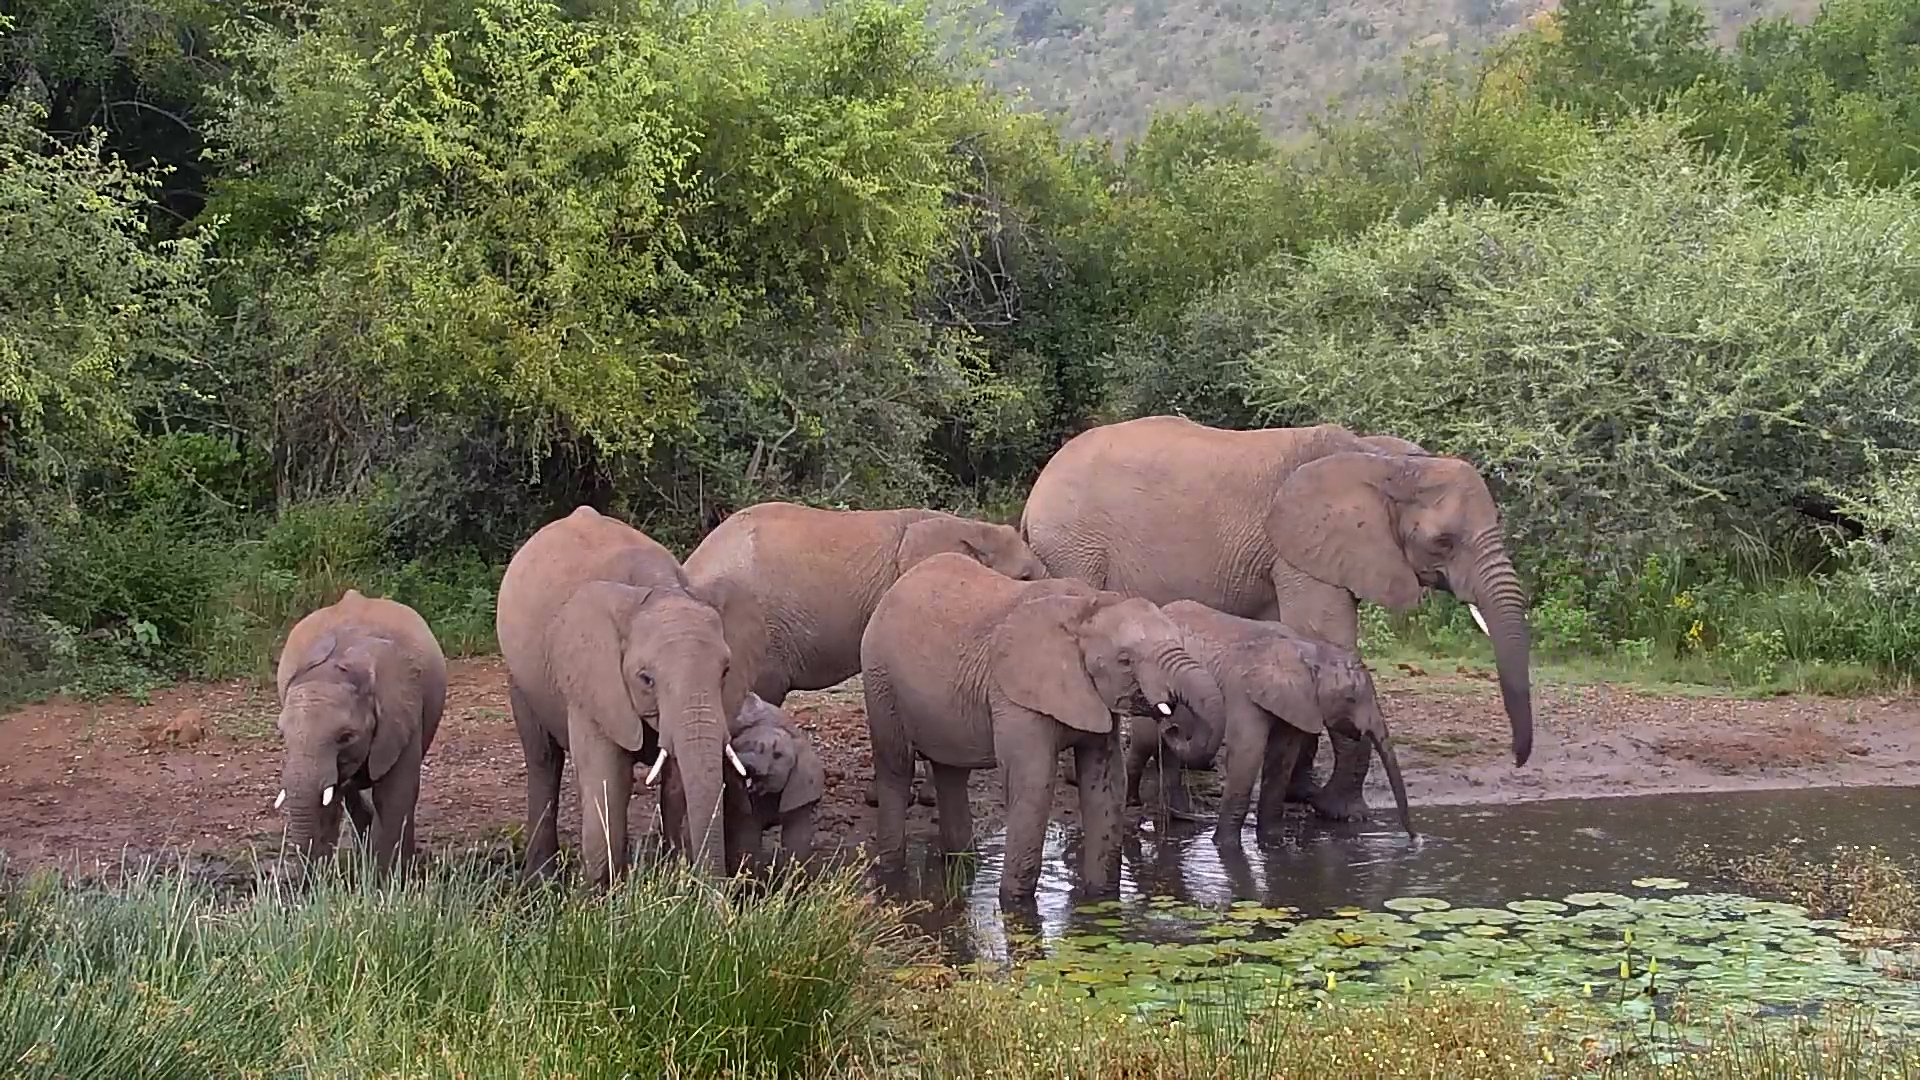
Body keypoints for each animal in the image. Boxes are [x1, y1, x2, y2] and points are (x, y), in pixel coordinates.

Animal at [272, 588, 447, 873]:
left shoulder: (402, 715)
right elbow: (327, 803)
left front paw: (385, 879)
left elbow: (394, 796)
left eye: (346, 737)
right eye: (283, 736)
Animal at [495, 506, 766, 885]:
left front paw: (673, 875)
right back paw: (541, 883)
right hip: (520, 676)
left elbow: (676, 781)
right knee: (543, 758)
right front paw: (600, 896)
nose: (717, 889)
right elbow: (606, 778)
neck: (657, 589)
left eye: (726, 671)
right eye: (646, 679)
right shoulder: (591, 682)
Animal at [860, 552, 1226, 903]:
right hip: (880, 678)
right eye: (1125, 661)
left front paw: (1102, 900)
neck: (1085, 608)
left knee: (951, 772)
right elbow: (1033, 782)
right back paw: (891, 869)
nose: (1173, 724)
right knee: (896, 765)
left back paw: (960, 862)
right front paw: (1015, 905)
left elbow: (1106, 783)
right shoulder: (1015, 697)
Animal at [1123, 601, 1412, 844]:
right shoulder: (1243, 693)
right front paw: (1225, 845)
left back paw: (1179, 816)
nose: (1415, 839)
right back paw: (1134, 802)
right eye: (1351, 698)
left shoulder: (1299, 704)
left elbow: (1282, 758)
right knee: (1145, 743)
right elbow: (1247, 754)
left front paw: (1273, 842)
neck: (1306, 651)